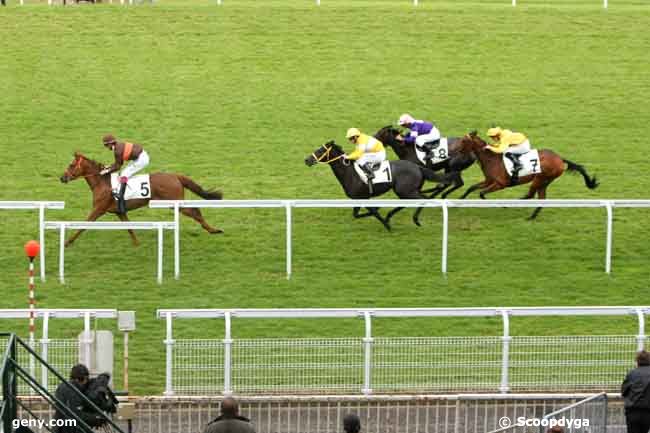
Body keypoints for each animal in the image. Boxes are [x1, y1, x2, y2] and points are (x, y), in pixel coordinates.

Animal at [60, 152, 223, 246]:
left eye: (72, 165)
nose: (62, 178)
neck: (102, 182)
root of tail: (175, 176)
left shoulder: (98, 209)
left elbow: (83, 225)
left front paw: (67, 242)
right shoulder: (119, 212)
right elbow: (129, 227)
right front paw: (137, 243)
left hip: (173, 202)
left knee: (195, 210)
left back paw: (213, 230)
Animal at [304, 141, 456, 230]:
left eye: (320, 150)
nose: (307, 160)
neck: (350, 173)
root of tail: (418, 167)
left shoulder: (363, 198)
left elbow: (373, 211)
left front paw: (386, 224)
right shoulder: (358, 199)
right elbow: (357, 214)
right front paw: (383, 216)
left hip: (405, 190)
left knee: (423, 199)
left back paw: (415, 219)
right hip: (406, 191)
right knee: (412, 200)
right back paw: (392, 216)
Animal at [454, 130, 596, 218]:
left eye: (463, 141)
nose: (454, 150)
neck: (491, 159)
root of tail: (560, 159)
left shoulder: (500, 184)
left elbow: (482, 193)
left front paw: (498, 204)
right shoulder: (489, 180)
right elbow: (471, 188)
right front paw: (458, 201)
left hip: (540, 179)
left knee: (531, 195)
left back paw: (510, 205)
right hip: (545, 181)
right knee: (541, 198)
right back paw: (531, 217)